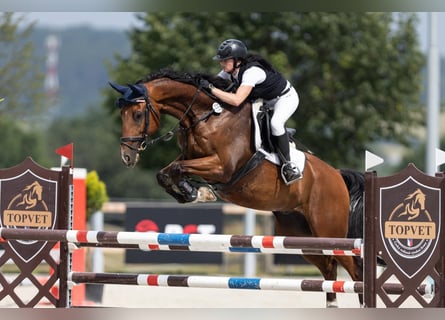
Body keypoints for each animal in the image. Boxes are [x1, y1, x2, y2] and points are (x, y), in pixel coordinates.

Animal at [110, 70, 364, 308]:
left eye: (138, 114)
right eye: (122, 114)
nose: (126, 157)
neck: (207, 117)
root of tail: (336, 175)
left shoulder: (222, 167)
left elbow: (177, 168)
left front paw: (197, 192)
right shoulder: (190, 158)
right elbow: (166, 172)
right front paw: (193, 193)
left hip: (328, 230)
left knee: (353, 268)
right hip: (301, 235)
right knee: (329, 269)